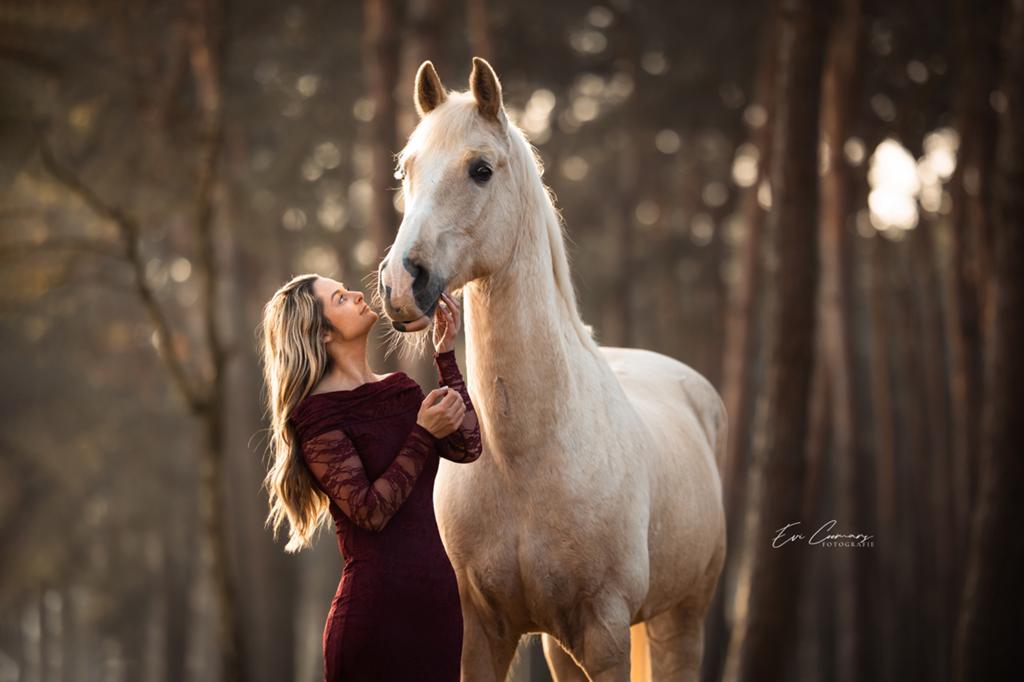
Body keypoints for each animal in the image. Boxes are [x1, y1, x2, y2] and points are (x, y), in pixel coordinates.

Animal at [375, 57, 727, 682]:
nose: (399, 283)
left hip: (680, 619)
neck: (523, 459)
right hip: (561, 646)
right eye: (406, 168)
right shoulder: (481, 634)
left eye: (481, 170)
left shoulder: (606, 635)